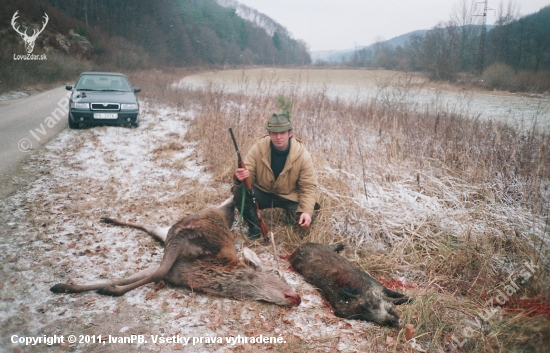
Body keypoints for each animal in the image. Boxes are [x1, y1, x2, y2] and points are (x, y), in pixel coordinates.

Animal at [49, 197, 302, 306]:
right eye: (277, 273)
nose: (297, 297)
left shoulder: (173, 268)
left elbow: (136, 275)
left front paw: (70, 286)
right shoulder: (181, 239)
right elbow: (155, 274)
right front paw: (106, 289)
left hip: (165, 235)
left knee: (150, 227)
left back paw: (109, 218)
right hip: (179, 230)